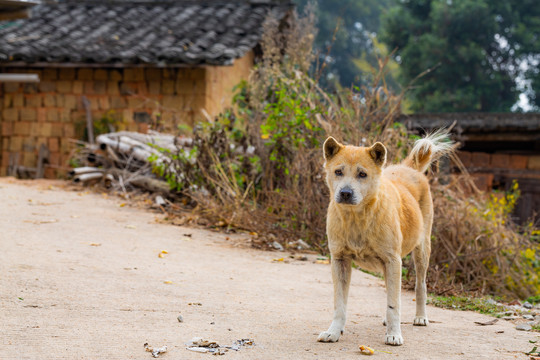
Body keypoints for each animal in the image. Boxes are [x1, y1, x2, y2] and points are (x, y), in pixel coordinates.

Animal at [316, 130, 452, 346]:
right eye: (338, 172)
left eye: (362, 174)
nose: (345, 193)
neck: (357, 218)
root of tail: (409, 168)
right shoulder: (339, 260)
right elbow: (340, 304)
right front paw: (334, 331)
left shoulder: (393, 260)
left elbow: (394, 304)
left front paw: (394, 334)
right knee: (391, 290)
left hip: (421, 251)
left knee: (419, 285)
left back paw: (420, 317)